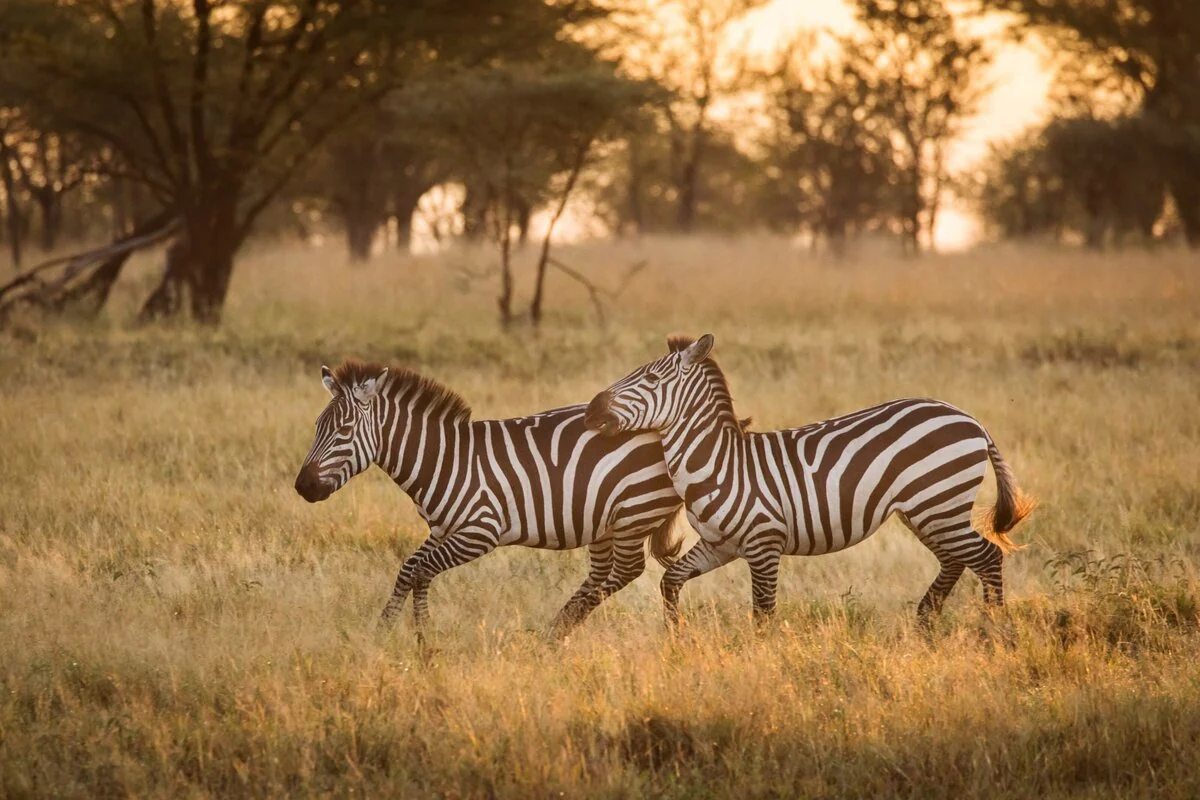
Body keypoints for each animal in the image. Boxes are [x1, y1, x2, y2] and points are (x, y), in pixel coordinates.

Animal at [293, 360, 688, 640]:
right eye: (316, 426)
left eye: (344, 431)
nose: (303, 487)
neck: (445, 460)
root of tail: (661, 426)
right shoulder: (442, 529)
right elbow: (408, 569)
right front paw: (383, 632)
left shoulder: (479, 533)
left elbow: (421, 572)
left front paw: (424, 641)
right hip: (604, 520)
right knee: (603, 573)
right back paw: (554, 632)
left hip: (634, 509)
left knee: (627, 570)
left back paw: (557, 630)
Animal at [584, 334, 1036, 626]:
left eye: (651, 379)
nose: (590, 410)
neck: (718, 463)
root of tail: (968, 418)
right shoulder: (719, 545)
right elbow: (671, 581)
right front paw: (677, 638)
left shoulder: (764, 543)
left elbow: (763, 615)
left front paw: (763, 666)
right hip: (928, 510)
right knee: (956, 559)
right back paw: (925, 621)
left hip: (937, 502)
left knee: (987, 557)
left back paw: (993, 631)